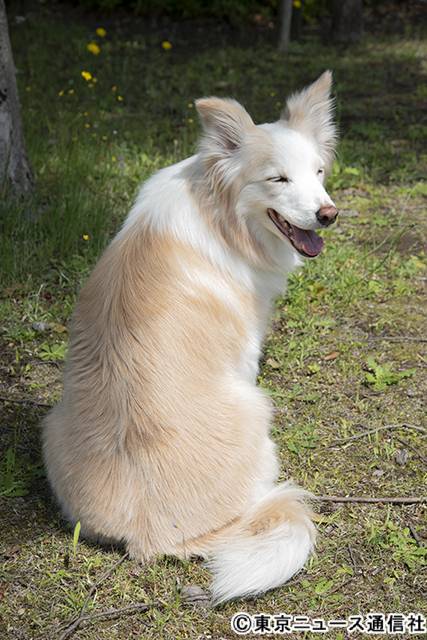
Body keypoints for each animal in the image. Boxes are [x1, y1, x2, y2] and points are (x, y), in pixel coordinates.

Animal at [42, 71, 338, 604]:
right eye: (278, 179)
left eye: (319, 172)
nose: (329, 214)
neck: (220, 211)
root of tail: (149, 537)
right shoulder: (245, 350)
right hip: (256, 410)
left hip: (50, 425)